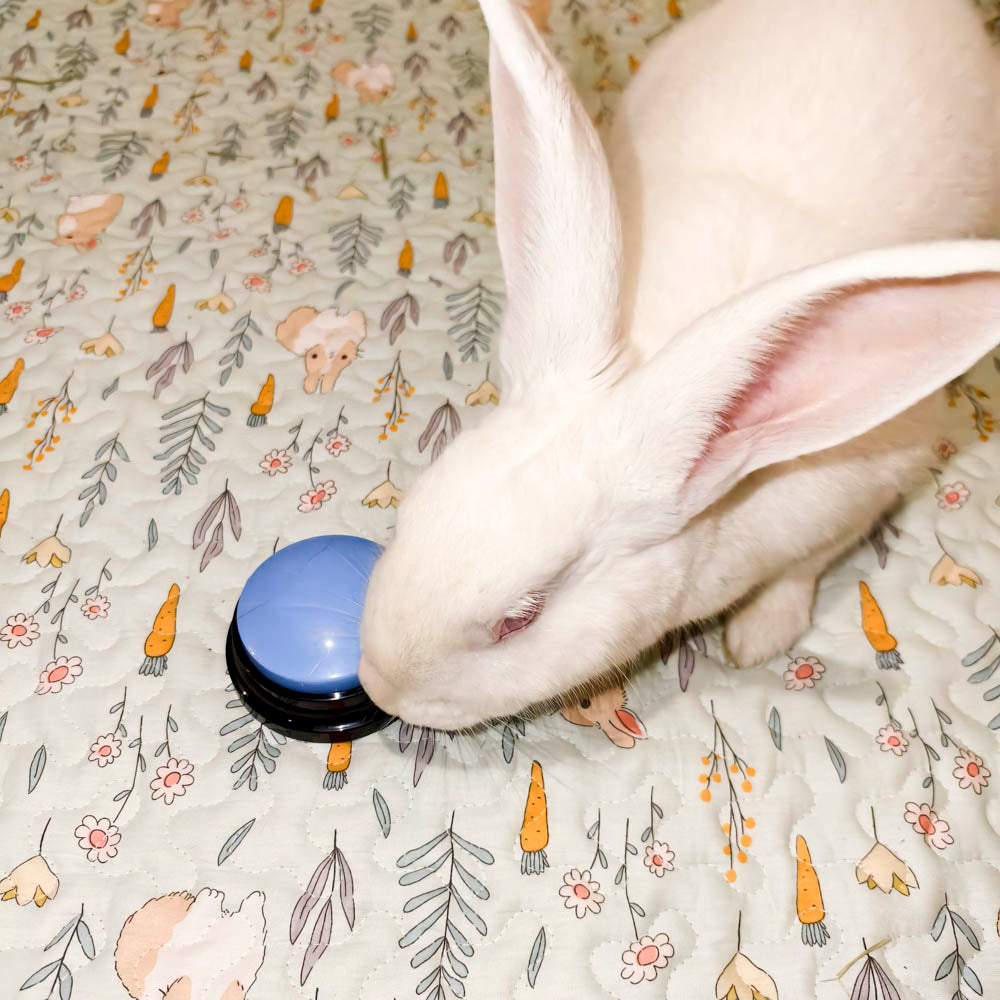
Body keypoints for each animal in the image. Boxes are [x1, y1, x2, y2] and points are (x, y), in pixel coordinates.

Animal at [357, 0, 1000, 731]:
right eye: (407, 515)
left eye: (520, 618)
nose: (379, 687)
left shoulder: (861, 489)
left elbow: (802, 569)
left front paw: (758, 637)